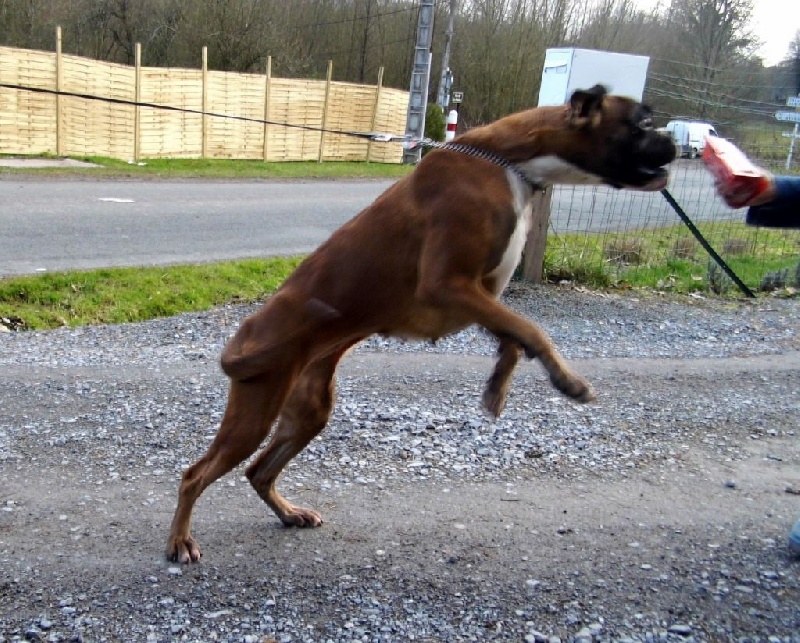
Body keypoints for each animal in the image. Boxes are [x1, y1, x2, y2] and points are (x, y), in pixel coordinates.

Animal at [167, 87, 676, 564]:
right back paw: (180, 542)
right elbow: (532, 329)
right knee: (195, 474)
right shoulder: (449, 286)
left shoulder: (480, 296)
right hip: (256, 409)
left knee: (259, 471)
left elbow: (514, 337)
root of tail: (245, 333)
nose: (674, 141)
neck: (512, 164)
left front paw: (497, 388)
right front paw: (567, 382)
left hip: (309, 411)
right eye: (641, 121)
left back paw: (289, 513)